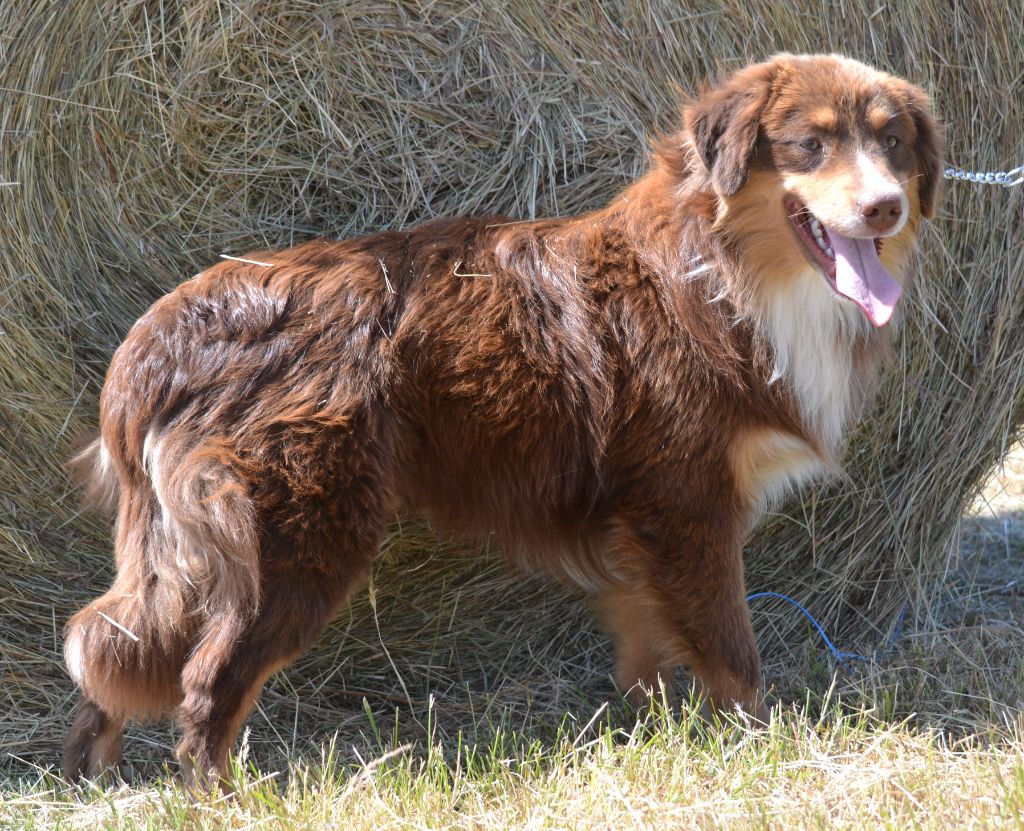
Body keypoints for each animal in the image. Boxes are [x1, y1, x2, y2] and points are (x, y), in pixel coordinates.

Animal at [64, 55, 937, 781]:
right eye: (809, 145)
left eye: (892, 141)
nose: (886, 207)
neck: (722, 268)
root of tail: (161, 333)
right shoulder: (686, 506)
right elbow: (733, 656)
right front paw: (763, 751)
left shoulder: (641, 525)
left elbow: (648, 652)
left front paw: (660, 740)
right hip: (296, 537)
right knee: (207, 680)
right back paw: (220, 795)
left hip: (189, 545)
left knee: (114, 641)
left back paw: (92, 777)